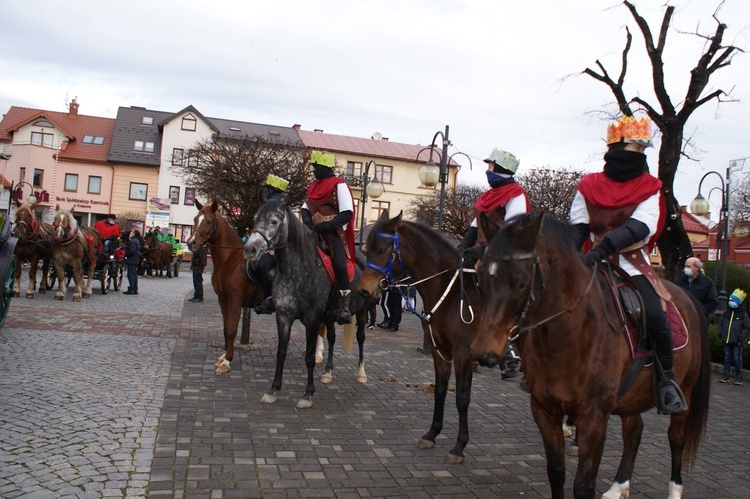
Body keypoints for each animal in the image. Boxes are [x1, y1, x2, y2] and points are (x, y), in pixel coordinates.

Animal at [360, 211, 488, 464]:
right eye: (367, 249)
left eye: (382, 249)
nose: (363, 290)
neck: (451, 295)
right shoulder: (440, 352)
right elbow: (439, 391)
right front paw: (432, 433)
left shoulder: (463, 356)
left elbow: (462, 398)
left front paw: (459, 446)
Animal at [472, 214, 712, 499]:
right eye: (480, 280)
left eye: (520, 283)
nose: (483, 352)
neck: (568, 334)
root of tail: (687, 297)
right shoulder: (544, 411)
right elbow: (556, 472)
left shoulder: (594, 419)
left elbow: (583, 485)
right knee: (634, 431)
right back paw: (619, 487)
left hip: (685, 391)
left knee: (676, 438)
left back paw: (674, 489)